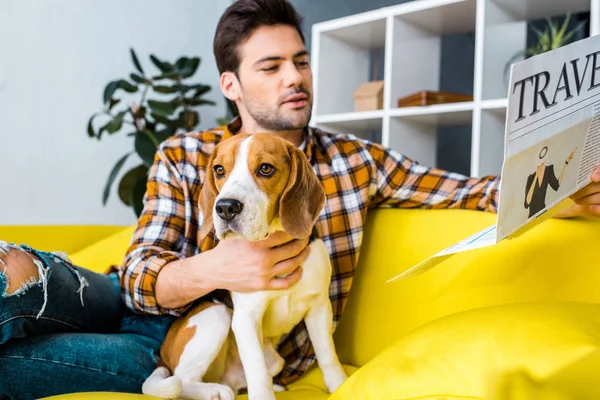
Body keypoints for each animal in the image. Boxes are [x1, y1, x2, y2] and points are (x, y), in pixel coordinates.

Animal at [142, 133, 346, 398]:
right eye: (219, 170)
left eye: (266, 169)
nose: (225, 207)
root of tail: (162, 358)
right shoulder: (246, 318)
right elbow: (257, 372)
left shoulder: (319, 307)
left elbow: (327, 355)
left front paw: (340, 385)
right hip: (217, 315)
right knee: (181, 381)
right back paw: (215, 391)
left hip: (273, 359)